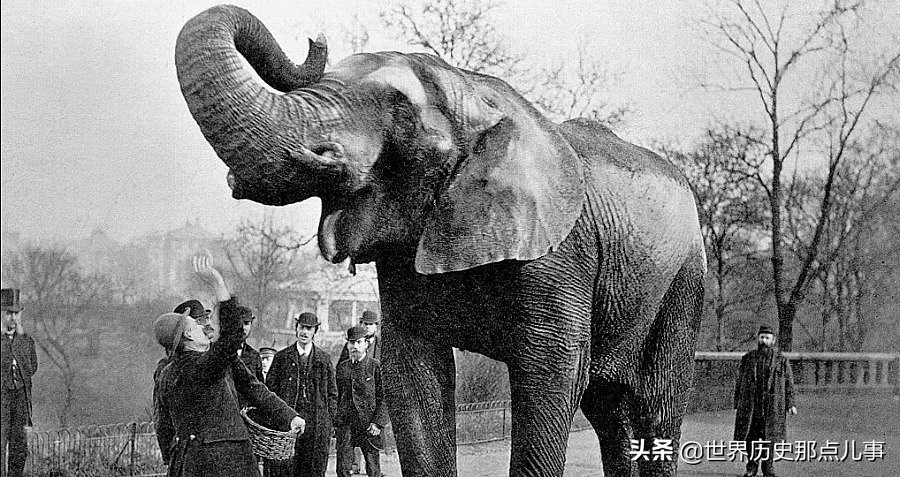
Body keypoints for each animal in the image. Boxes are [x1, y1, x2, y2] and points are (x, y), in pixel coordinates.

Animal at [175, 6, 706, 476]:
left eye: (401, 112)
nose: (314, 39)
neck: (479, 94)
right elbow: (413, 375)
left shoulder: (559, 258)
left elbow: (553, 376)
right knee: (608, 411)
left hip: (683, 283)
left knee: (656, 405)